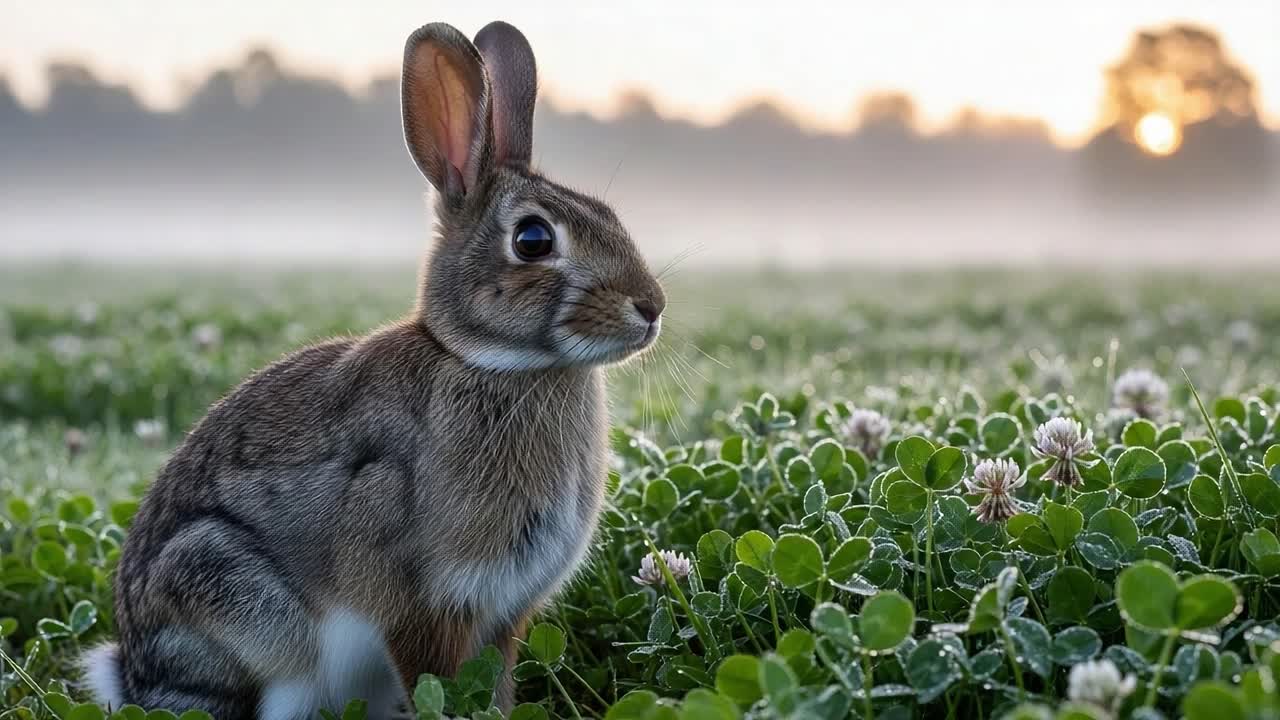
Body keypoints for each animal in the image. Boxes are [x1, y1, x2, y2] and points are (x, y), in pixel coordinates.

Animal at [81, 19, 665, 720]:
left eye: (611, 217)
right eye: (533, 240)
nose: (652, 307)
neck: (489, 361)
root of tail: (133, 678)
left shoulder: (505, 615)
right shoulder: (420, 599)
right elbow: (434, 679)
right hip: (238, 606)